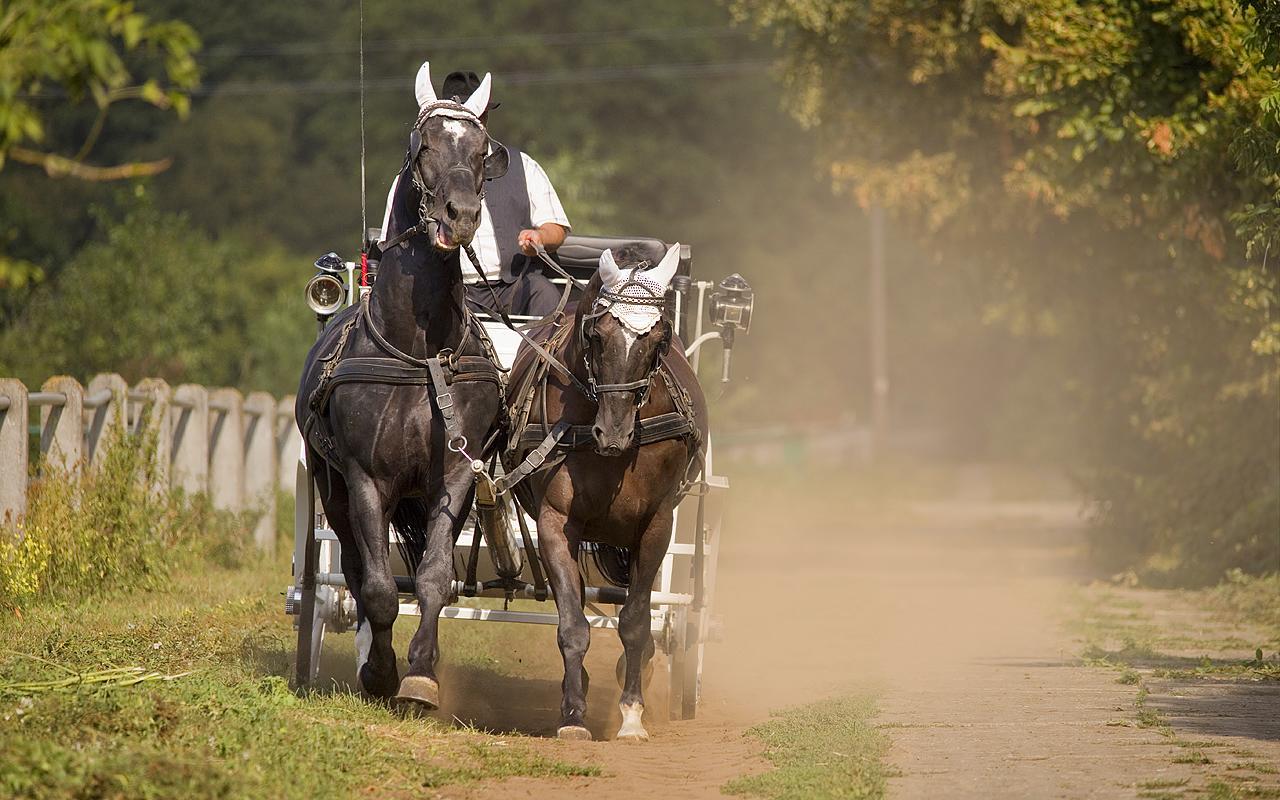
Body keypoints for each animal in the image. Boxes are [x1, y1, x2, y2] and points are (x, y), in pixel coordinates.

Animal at [501, 240, 711, 737]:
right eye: (596, 334)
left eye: (660, 339)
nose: (613, 432)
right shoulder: (556, 523)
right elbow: (572, 622)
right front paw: (573, 713)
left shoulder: (656, 525)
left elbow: (635, 621)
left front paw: (632, 713)